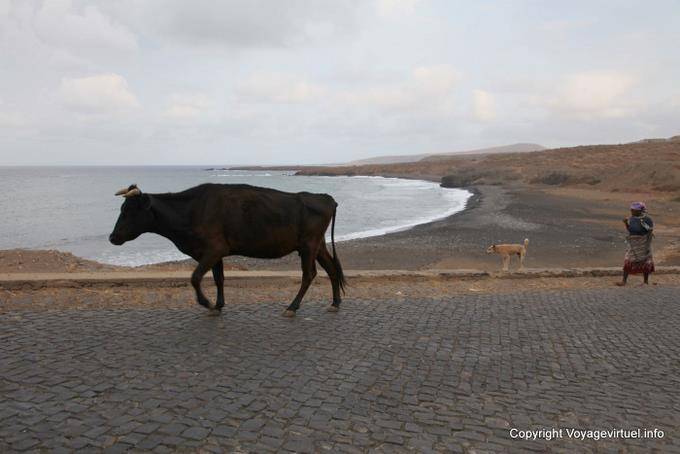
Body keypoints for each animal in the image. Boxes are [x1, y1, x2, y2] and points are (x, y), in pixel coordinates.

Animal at [109, 183, 346, 317]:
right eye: (121, 209)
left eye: (129, 211)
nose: (112, 237)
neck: (191, 210)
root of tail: (325, 197)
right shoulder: (217, 252)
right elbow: (219, 278)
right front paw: (218, 305)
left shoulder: (214, 249)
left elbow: (195, 277)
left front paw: (206, 303)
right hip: (318, 245)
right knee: (332, 269)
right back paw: (335, 303)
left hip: (308, 245)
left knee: (309, 274)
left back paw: (292, 307)